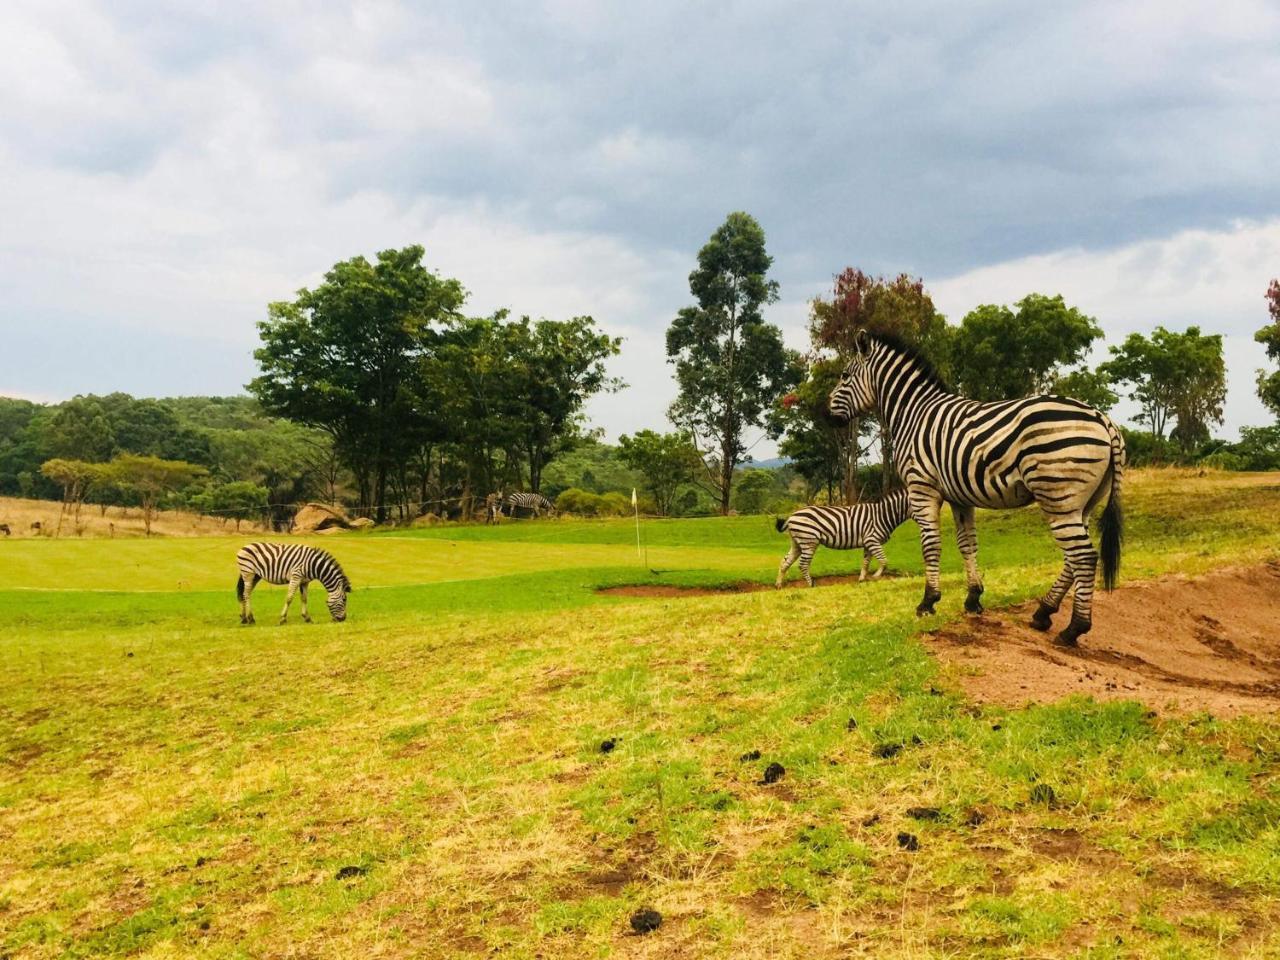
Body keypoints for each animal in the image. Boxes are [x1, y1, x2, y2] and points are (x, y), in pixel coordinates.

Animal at [773, 491, 916, 591]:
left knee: (785, 562)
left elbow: (866, 563)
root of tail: (792, 516)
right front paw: (876, 577)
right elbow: (884, 561)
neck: (883, 516)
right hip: (809, 541)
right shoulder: (873, 540)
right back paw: (811, 584)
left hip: (797, 543)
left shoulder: (868, 543)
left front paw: (862, 579)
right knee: (802, 564)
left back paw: (778, 585)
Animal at [829, 327, 1121, 650]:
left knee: (1084, 556)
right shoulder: (960, 497)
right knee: (1073, 558)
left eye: (844, 375)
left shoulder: (922, 487)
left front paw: (928, 601)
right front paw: (973, 598)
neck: (913, 413)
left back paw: (1074, 629)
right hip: (1082, 502)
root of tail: (1102, 419)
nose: (827, 414)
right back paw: (1043, 612)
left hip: (1058, 496)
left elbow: (931, 545)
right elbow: (967, 544)